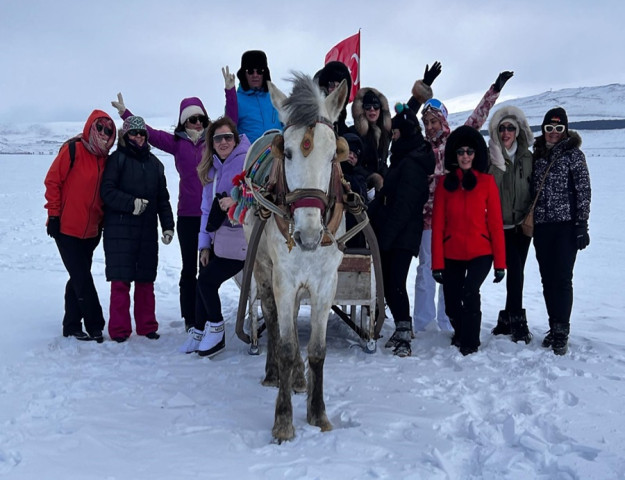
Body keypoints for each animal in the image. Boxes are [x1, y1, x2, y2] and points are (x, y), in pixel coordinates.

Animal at [243, 73, 348, 444]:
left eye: (333, 155)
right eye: (287, 153)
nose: (309, 235)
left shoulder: (326, 283)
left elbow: (317, 350)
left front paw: (318, 413)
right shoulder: (284, 280)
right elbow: (287, 346)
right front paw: (283, 421)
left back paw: (300, 379)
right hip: (263, 271)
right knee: (273, 319)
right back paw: (274, 372)